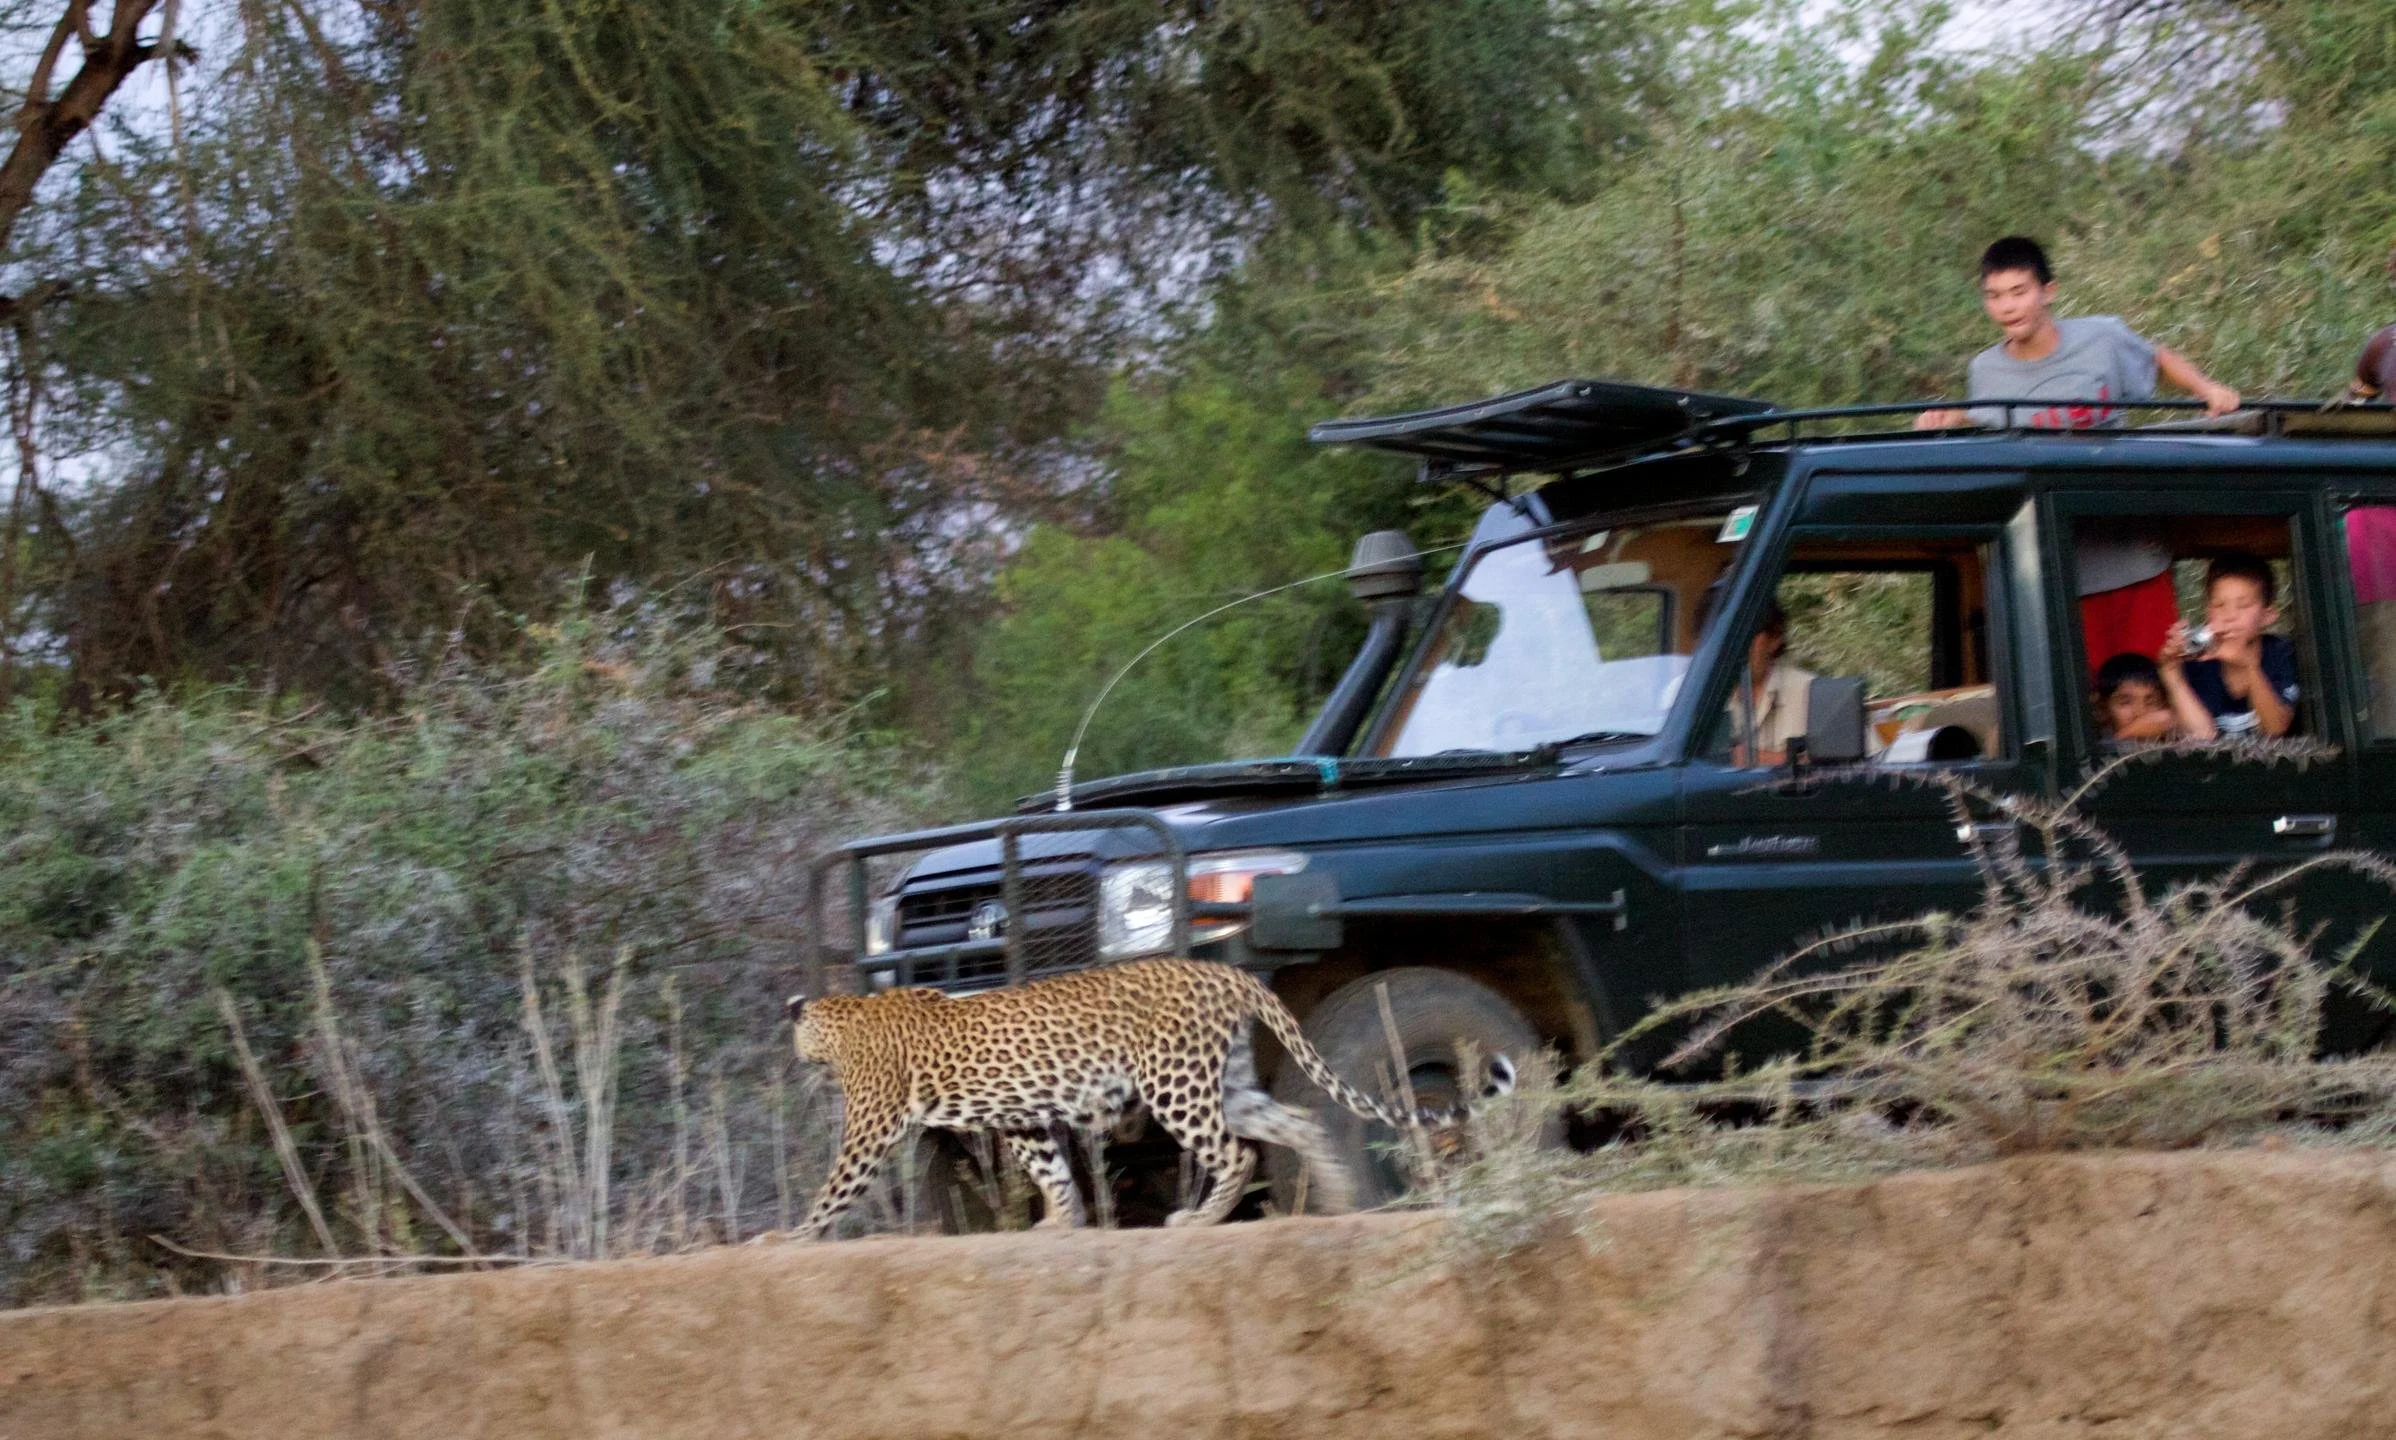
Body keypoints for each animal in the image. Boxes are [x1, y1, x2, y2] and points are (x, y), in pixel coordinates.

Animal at [780, 958, 1409, 1240]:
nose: (794, 1060)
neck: (847, 1016)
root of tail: (1222, 969)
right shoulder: (1024, 1118)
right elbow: (1052, 1171)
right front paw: (1063, 1221)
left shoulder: (872, 1126)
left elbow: (836, 1187)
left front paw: (792, 1236)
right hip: (1226, 1084)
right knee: (1299, 1120)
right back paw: (1341, 1197)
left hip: (1174, 1083)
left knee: (1237, 1154)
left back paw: (1199, 1218)